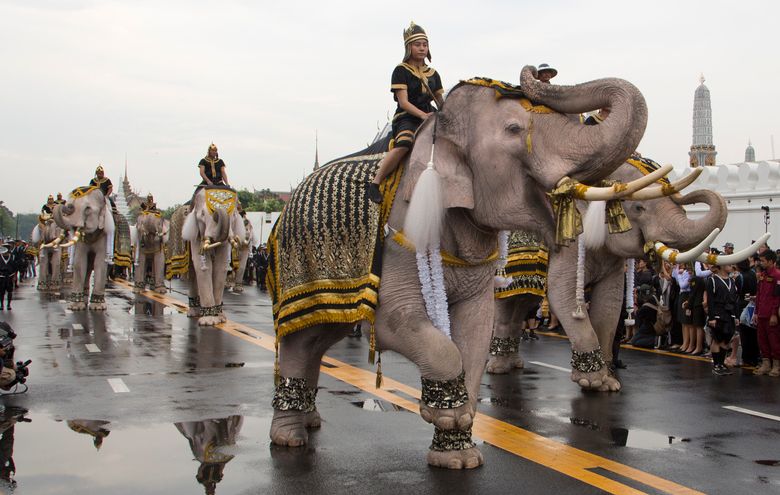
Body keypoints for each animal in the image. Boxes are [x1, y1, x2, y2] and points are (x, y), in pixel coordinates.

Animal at [167, 185, 244, 326]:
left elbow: (221, 267)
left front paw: (220, 318)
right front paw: (209, 321)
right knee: (193, 271)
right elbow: (203, 266)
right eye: (202, 214)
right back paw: (194, 313)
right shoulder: (196, 233)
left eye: (235, 215)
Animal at [268, 67, 652, 468]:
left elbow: (477, 325)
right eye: (513, 129)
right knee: (300, 341)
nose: (537, 71)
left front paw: (459, 455)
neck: (439, 131)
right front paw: (446, 414)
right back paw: (290, 439)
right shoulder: (401, 236)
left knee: (318, 338)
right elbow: (393, 321)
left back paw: (309, 421)